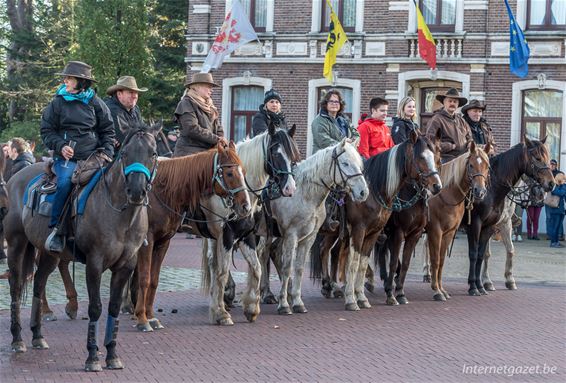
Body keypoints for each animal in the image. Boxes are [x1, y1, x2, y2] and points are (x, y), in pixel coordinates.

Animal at [7, 128, 160, 372]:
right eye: (125, 153)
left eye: (153, 153)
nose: (136, 191)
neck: (119, 213)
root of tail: (15, 178)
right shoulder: (94, 263)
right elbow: (95, 308)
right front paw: (93, 357)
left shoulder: (126, 266)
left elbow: (114, 308)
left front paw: (112, 355)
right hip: (16, 244)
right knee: (15, 287)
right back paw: (18, 340)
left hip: (49, 254)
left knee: (39, 284)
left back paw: (38, 336)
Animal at [426, 142, 492, 302]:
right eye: (471, 165)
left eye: (487, 166)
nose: (480, 191)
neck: (445, 194)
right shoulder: (435, 231)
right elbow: (435, 260)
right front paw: (436, 290)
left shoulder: (448, 233)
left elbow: (441, 261)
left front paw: (442, 290)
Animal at [466, 138, 560, 296]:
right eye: (537, 158)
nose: (550, 185)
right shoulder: (485, 225)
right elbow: (486, 254)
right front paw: (487, 282)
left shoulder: (505, 223)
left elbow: (510, 250)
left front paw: (510, 280)